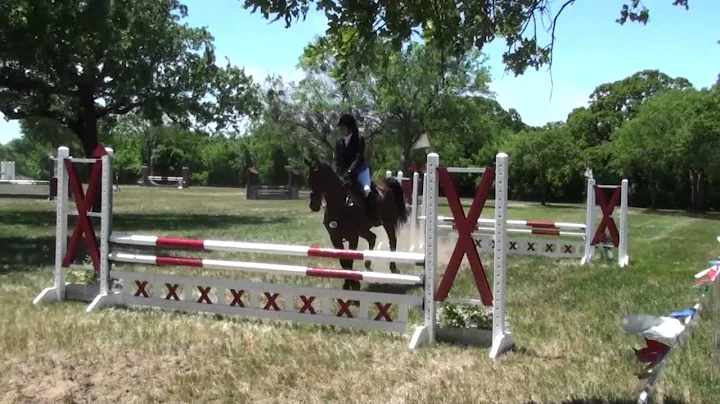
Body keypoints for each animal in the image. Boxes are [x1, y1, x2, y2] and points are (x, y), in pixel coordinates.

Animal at [308, 159, 410, 288]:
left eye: (320, 178)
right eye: (309, 179)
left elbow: (350, 258)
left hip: (388, 222)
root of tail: (385, 184)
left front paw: (352, 283)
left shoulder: (353, 237)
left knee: (392, 241)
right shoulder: (335, 237)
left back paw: (393, 267)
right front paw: (348, 284)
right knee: (372, 238)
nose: (314, 206)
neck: (340, 205)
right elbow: (343, 260)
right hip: (363, 229)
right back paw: (367, 263)